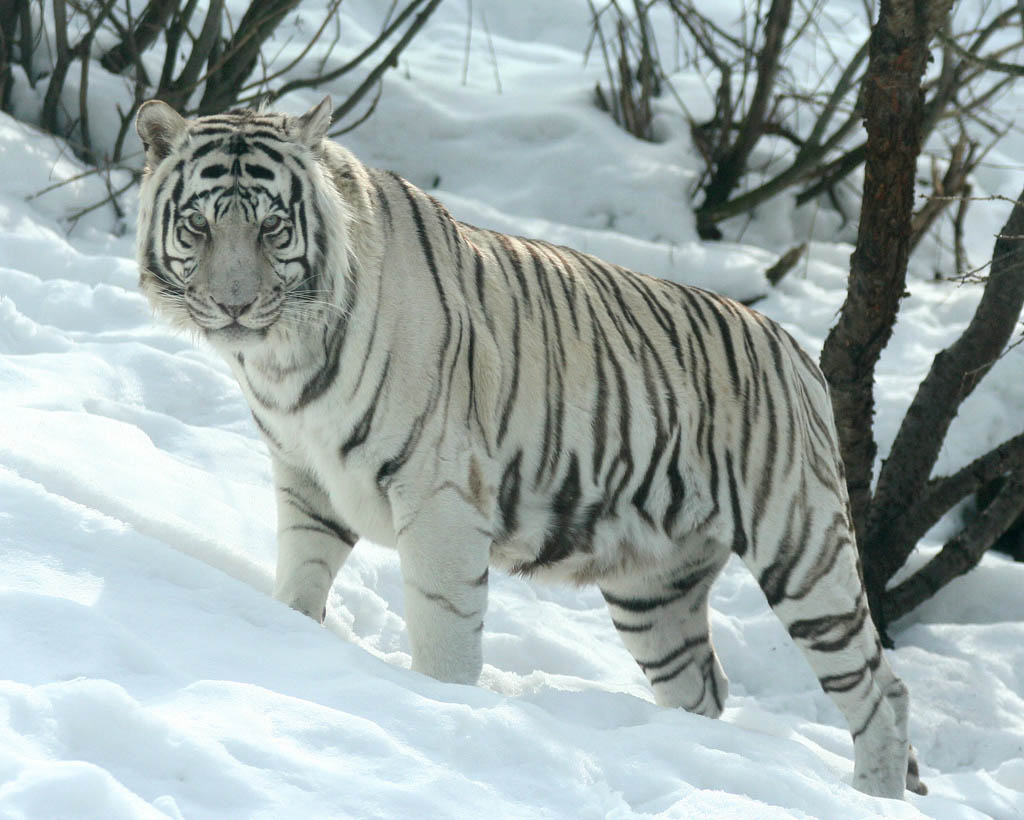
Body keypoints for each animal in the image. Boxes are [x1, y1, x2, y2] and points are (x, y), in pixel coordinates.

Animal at [135, 96, 925, 799]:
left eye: (272, 227)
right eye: (198, 224)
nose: (235, 305)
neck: (280, 359)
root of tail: (797, 350)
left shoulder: (439, 495)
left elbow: (445, 630)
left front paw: (439, 708)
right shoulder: (307, 478)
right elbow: (300, 582)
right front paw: (290, 638)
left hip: (802, 550)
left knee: (881, 691)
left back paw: (874, 794)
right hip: (654, 590)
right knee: (708, 686)